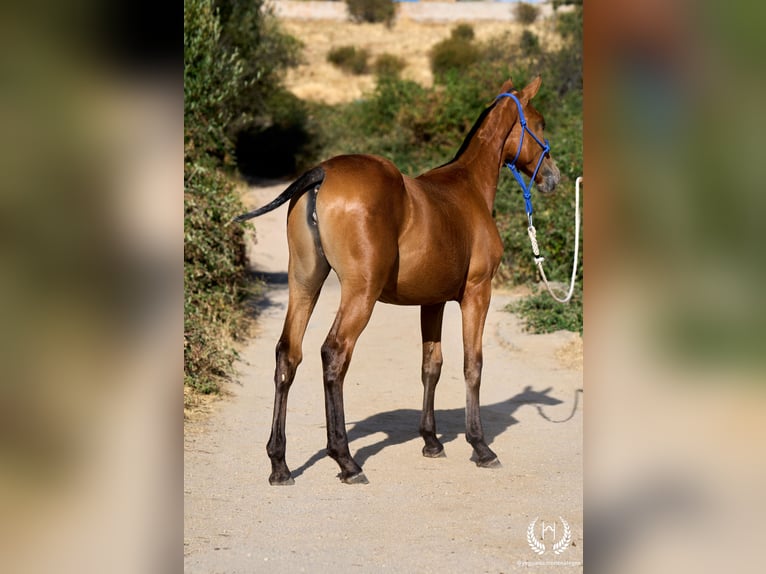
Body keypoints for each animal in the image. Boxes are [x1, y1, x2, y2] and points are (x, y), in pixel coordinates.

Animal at [234, 76, 561, 485]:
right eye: (540, 122)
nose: (553, 176)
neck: (468, 188)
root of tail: (322, 172)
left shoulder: (432, 301)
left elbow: (431, 365)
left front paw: (431, 441)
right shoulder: (477, 293)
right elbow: (472, 364)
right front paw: (480, 446)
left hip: (305, 282)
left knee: (287, 354)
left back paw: (280, 464)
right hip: (360, 292)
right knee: (334, 353)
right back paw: (345, 460)